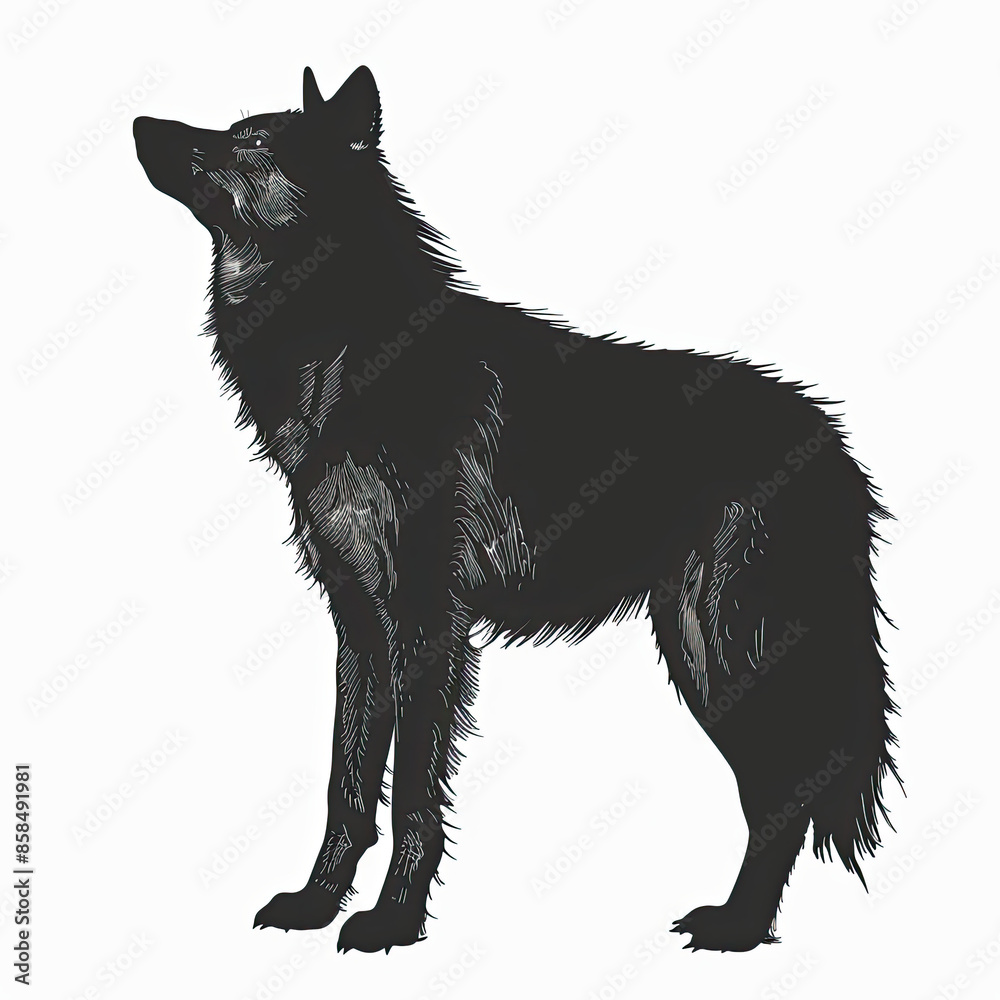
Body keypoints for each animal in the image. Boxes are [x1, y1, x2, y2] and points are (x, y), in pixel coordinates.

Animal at [133, 66, 900, 954]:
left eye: (251, 141)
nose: (140, 124)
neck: (345, 353)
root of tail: (834, 444)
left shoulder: (427, 624)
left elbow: (413, 793)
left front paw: (392, 919)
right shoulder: (358, 623)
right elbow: (348, 783)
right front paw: (316, 902)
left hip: (725, 650)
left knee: (785, 786)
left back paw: (738, 928)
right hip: (698, 646)